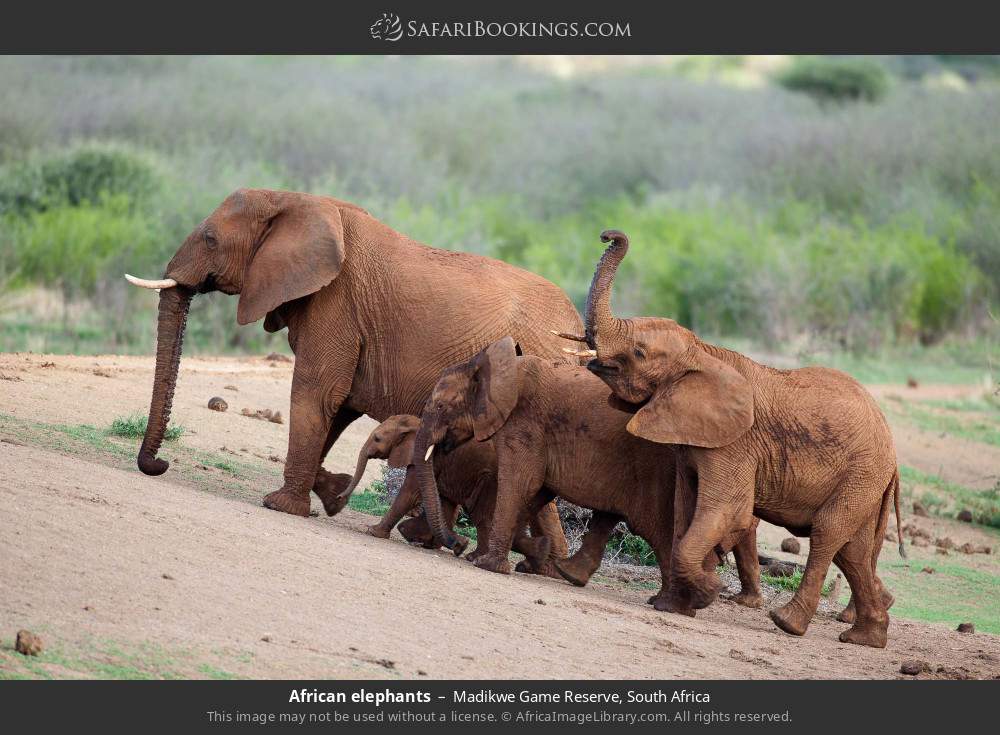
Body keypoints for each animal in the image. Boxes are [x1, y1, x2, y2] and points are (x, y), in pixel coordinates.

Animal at [124, 188, 583, 518]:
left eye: (210, 239)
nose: (159, 465)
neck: (293, 199)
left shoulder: (336, 303)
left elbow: (317, 393)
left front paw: (280, 505)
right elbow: (340, 404)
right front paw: (332, 496)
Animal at [339, 414, 568, 577]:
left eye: (377, 438)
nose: (340, 499)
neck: (417, 424)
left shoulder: (428, 459)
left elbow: (409, 494)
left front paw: (373, 531)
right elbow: (444, 503)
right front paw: (437, 543)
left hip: (492, 481)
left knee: (482, 517)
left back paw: (475, 557)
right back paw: (539, 550)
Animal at [409, 337, 762, 609]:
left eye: (440, 406)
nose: (456, 544)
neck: (499, 365)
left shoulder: (523, 425)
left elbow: (520, 484)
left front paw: (486, 565)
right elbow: (535, 493)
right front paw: (520, 554)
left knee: (659, 533)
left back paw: (676, 604)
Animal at [570, 229, 904, 648]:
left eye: (639, 352)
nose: (609, 235)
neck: (702, 352)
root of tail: (892, 446)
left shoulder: (735, 445)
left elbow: (724, 509)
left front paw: (706, 593)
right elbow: (685, 509)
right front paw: (671, 605)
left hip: (863, 473)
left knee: (829, 533)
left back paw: (788, 624)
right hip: (864, 479)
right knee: (853, 550)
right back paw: (865, 638)